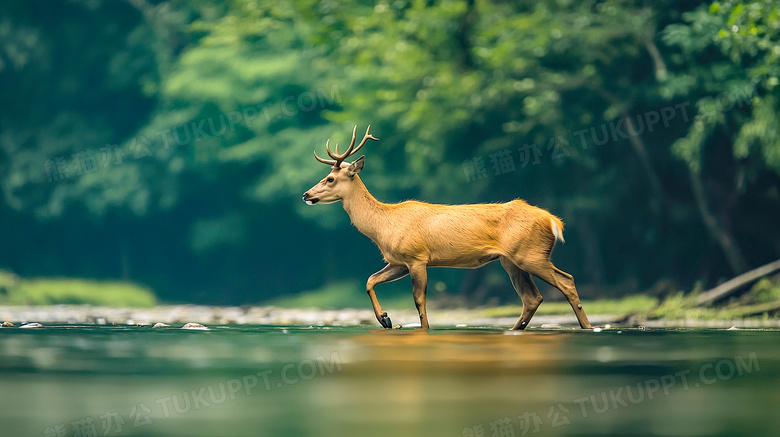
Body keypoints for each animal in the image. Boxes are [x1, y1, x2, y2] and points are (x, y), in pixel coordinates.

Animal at [300, 124, 592, 328]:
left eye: (329, 179)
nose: (306, 194)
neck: (384, 225)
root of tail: (552, 220)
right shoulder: (398, 262)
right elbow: (370, 280)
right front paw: (386, 319)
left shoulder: (417, 257)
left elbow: (419, 300)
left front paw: (418, 329)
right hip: (511, 260)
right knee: (532, 298)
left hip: (530, 253)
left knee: (567, 281)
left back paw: (587, 328)